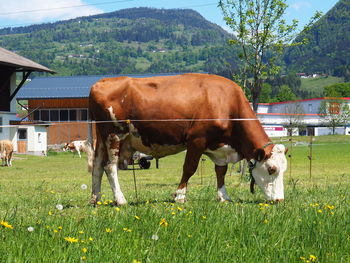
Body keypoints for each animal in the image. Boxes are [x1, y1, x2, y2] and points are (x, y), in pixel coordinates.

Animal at [87, 72, 288, 206]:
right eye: (272, 169)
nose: (280, 199)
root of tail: (99, 83)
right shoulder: (196, 140)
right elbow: (189, 168)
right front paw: (180, 195)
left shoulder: (219, 147)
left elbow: (220, 172)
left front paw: (224, 196)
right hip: (114, 134)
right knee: (110, 166)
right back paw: (120, 199)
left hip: (102, 138)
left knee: (97, 166)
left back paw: (95, 198)